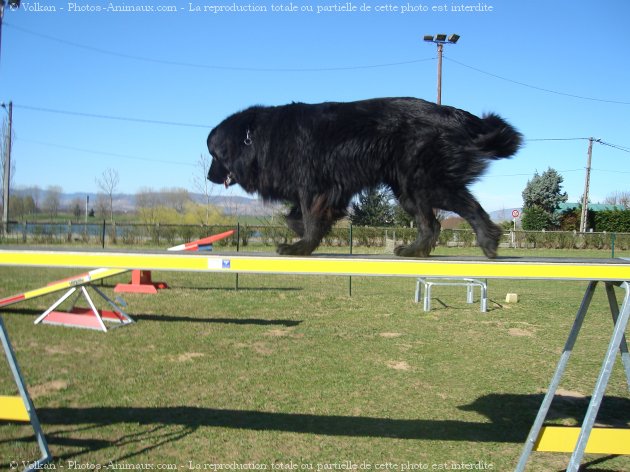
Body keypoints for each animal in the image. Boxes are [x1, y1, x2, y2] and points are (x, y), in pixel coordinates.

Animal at [207, 97, 524, 258]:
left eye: (214, 155)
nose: (209, 176)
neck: (255, 139)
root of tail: (453, 113)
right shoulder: (322, 189)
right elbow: (295, 217)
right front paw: (304, 233)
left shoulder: (313, 186)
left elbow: (309, 218)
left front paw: (302, 246)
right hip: (408, 189)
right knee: (433, 223)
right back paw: (418, 250)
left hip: (425, 182)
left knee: (463, 209)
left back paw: (488, 241)